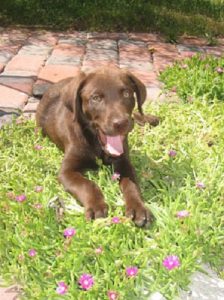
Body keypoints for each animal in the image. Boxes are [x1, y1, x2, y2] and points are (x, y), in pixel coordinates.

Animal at [36, 67, 158, 226]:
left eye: (126, 93)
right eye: (96, 98)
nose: (121, 123)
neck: (97, 145)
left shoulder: (124, 163)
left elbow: (132, 185)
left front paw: (138, 208)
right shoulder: (66, 171)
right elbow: (87, 185)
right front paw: (96, 206)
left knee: (137, 115)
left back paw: (149, 119)